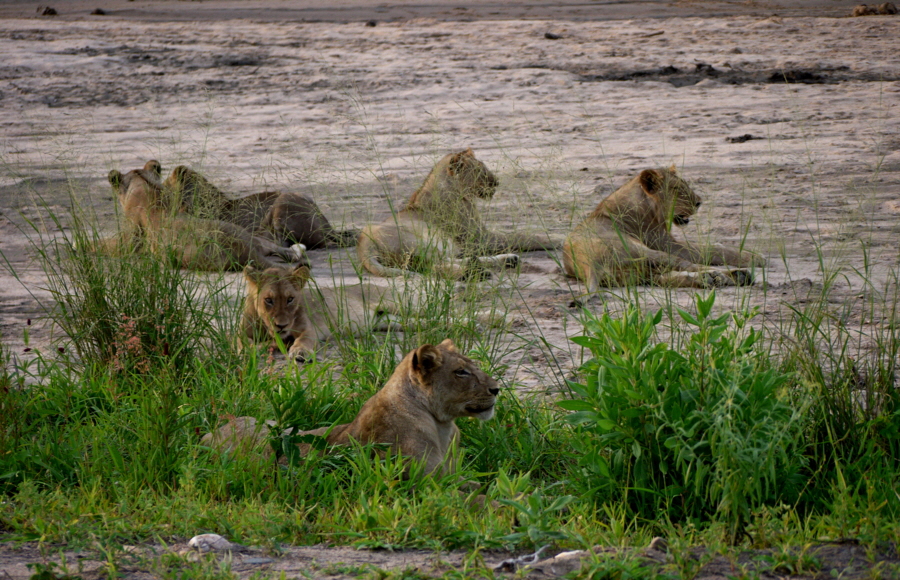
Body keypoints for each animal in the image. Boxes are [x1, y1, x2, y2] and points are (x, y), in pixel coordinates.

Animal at [103, 161, 310, 272]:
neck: (148, 190)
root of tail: (242, 249)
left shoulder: (131, 239)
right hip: (246, 234)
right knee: (280, 249)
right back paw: (295, 250)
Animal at [356, 147, 556, 278]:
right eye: (479, 171)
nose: (497, 182)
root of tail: (364, 243)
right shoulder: (480, 238)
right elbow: (524, 236)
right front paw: (556, 239)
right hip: (420, 242)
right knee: (434, 266)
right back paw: (475, 273)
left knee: (456, 259)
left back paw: (505, 261)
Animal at [564, 165, 768, 292]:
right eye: (677, 189)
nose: (699, 202)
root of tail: (588, 264)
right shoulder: (666, 243)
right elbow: (712, 249)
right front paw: (754, 257)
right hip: (646, 252)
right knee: (691, 266)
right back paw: (727, 275)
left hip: (639, 273)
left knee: (667, 278)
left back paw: (722, 278)